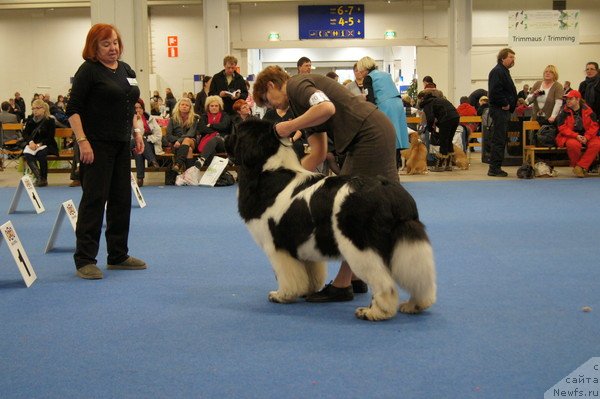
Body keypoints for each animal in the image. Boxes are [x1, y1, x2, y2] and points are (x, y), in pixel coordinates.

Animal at [225, 119, 436, 322]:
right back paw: (415, 305)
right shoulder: (302, 242)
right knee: (419, 277)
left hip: (359, 246)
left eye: (236, 131)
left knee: (385, 283)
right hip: (405, 241)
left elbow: (288, 275)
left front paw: (282, 295)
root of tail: (389, 191)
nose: (225, 137)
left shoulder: (278, 246)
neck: (268, 171)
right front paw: (307, 290)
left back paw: (374, 313)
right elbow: (309, 272)